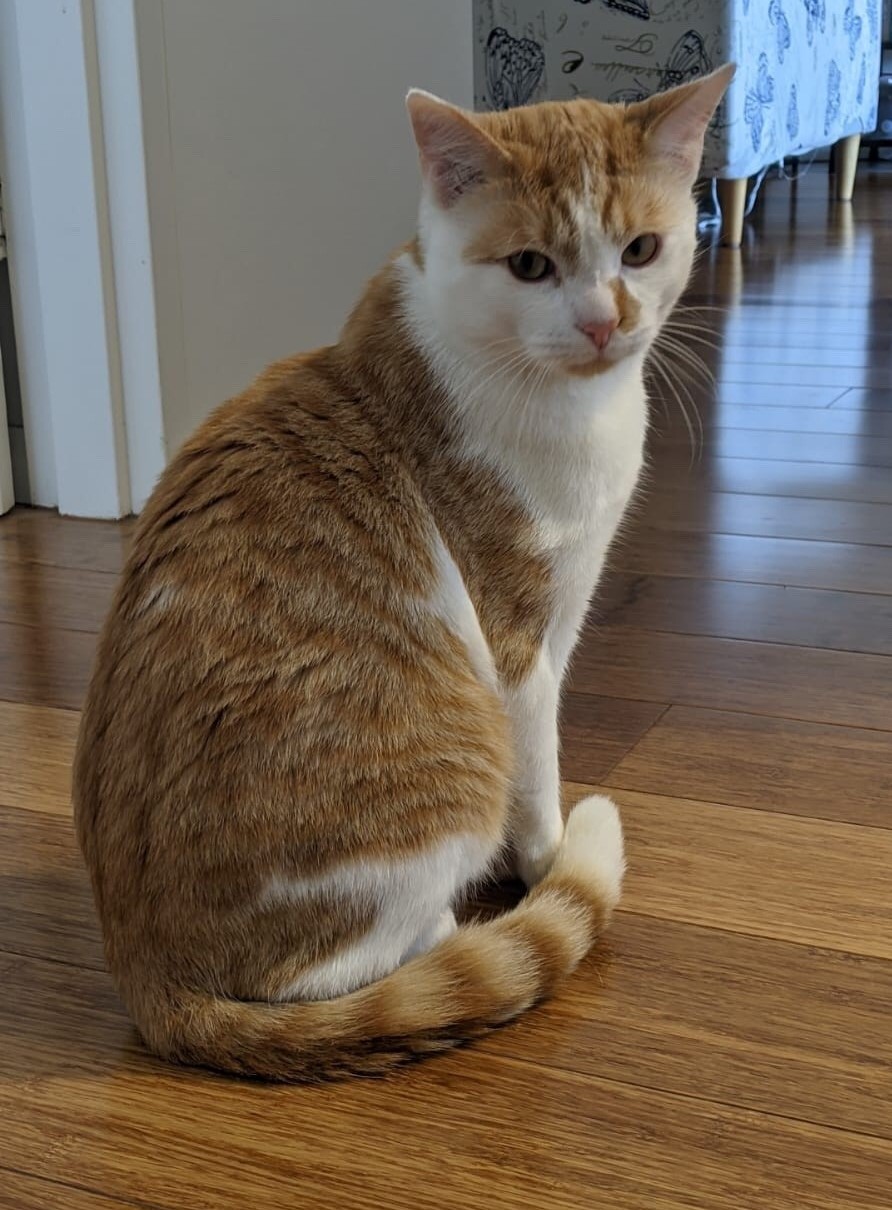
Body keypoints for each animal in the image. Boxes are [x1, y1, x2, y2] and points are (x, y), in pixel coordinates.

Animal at [74, 64, 733, 1081]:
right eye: (530, 266)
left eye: (641, 250)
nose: (603, 322)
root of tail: (149, 983)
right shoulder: (521, 641)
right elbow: (538, 772)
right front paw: (547, 862)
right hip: (442, 779)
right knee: (365, 965)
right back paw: (464, 933)